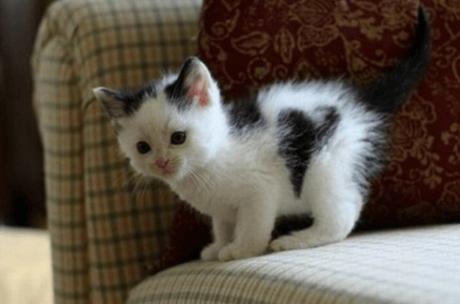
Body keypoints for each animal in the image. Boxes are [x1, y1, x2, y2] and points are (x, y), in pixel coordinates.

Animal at [93, 8, 432, 262]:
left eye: (178, 138)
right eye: (143, 147)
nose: (162, 163)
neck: (213, 157)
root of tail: (359, 102)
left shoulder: (260, 189)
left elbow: (253, 226)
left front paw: (239, 250)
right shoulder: (223, 210)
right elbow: (223, 224)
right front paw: (219, 245)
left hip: (326, 162)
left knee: (342, 214)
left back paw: (296, 239)